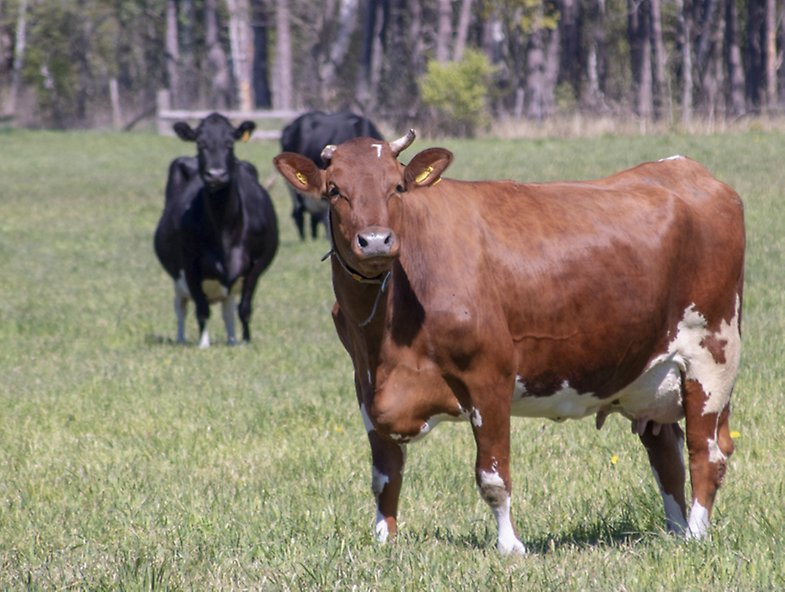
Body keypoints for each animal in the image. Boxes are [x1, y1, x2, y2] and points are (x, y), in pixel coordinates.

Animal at [154, 111, 278, 346]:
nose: (216, 175)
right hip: (178, 280)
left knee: (228, 309)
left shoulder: (256, 264)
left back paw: (232, 340)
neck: (225, 229)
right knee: (181, 307)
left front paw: (245, 341)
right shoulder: (190, 265)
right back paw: (181, 338)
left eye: (230, 143)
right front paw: (204, 344)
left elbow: (244, 308)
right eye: (200, 143)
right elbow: (201, 310)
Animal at [272, 131, 744, 556]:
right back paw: (675, 532)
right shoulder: (366, 385)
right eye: (335, 190)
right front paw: (384, 541)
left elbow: (493, 477)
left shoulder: (489, 376)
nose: (374, 241)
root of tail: (686, 168)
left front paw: (509, 547)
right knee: (666, 453)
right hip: (648, 375)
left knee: (706, 452)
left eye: (398, 186)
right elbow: (384, 476)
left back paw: (696, 535)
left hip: (713, 355)